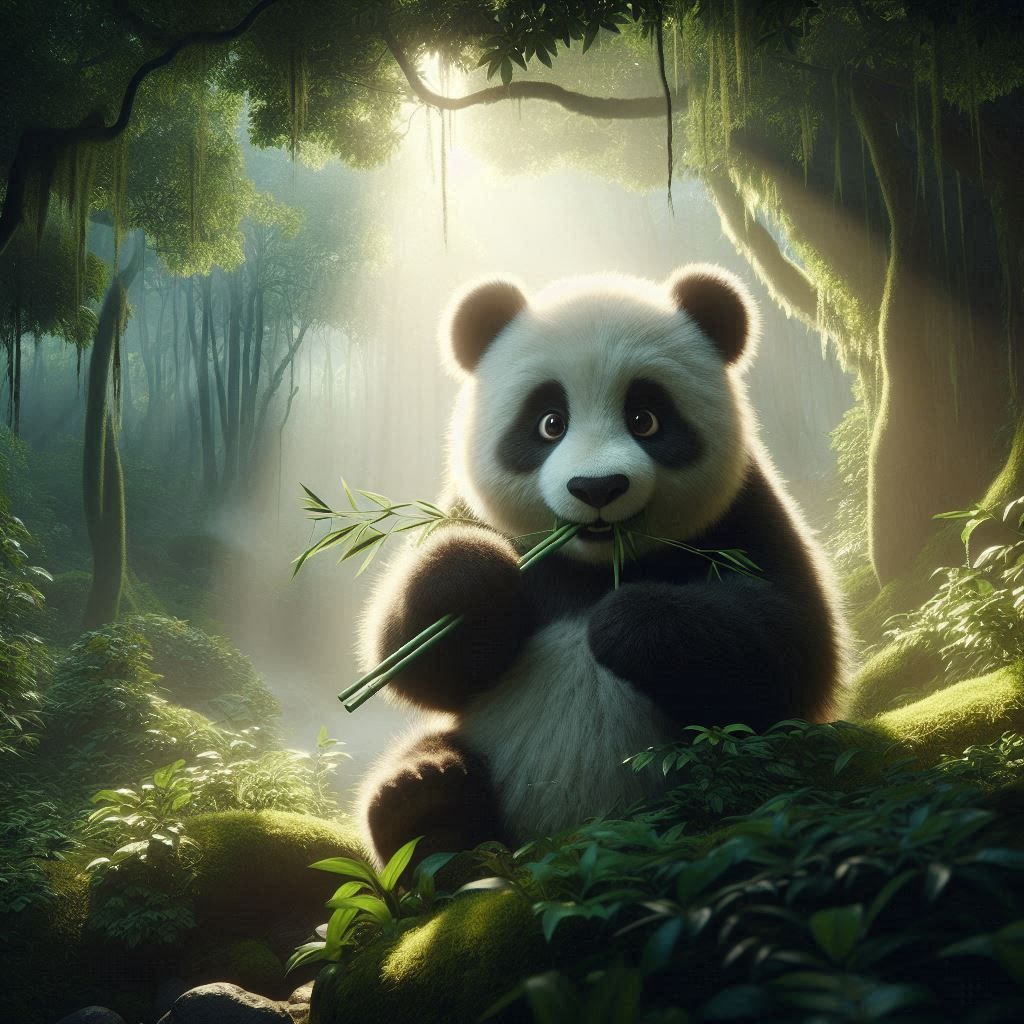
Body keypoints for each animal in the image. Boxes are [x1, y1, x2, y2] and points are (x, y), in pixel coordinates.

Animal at [359, 264, 845, 867]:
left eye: (645, 419)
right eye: (550, 423)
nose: (597, 489)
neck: (593, 567)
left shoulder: (745, 512)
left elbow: (794, 645)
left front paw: (626, 621)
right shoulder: (471, 514)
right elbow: (411, 659)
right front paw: (474, 583)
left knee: (764, 768)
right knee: (433, 765)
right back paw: (422, 801)